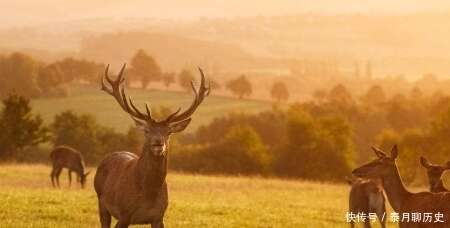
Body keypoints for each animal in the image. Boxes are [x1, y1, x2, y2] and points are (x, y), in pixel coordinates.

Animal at [94, 64, 210, 228]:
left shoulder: (159, 217)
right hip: (101, 202)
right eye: (147, 131)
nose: (158, 143)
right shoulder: (124, 214)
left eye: (169, 132)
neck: (148, 195)